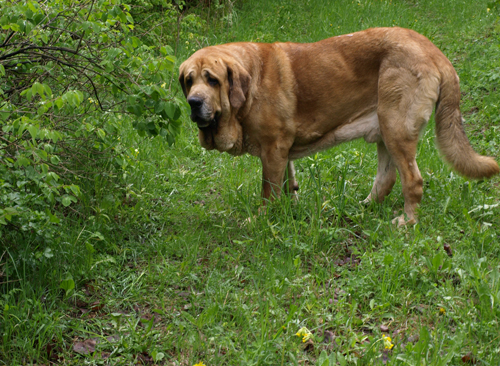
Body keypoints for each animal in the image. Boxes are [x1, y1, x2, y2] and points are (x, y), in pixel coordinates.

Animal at [178, 27, 498, 224]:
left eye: (212, 80)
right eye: (188, 81)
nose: (194, 102)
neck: (250, 84)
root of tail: (434, 51)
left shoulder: (272, 148)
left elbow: (268, 192)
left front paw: (260, 220)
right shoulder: (281, 151)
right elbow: (288, 184)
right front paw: (289, 210)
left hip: (396, 127)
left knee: (413, 181)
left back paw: (407, 222)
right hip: (385, 131)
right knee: (386, 179)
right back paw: (362, 209)